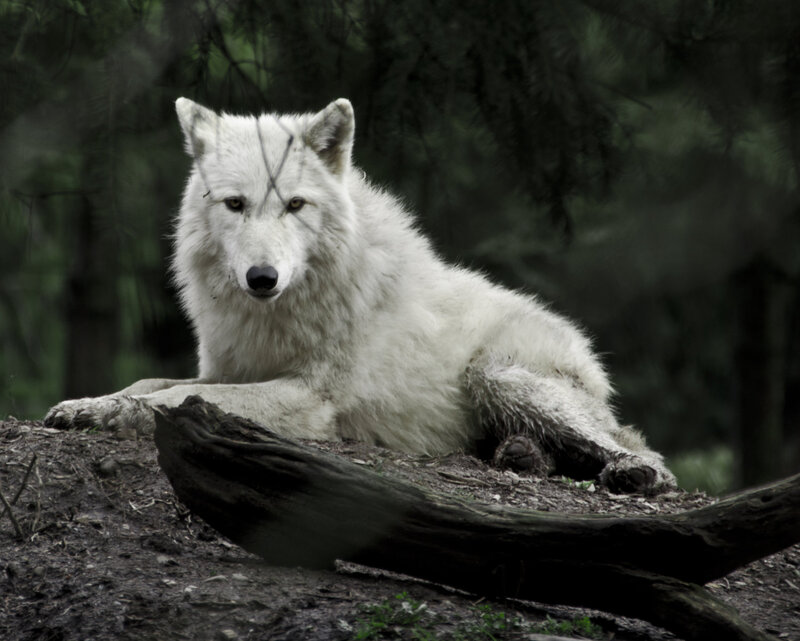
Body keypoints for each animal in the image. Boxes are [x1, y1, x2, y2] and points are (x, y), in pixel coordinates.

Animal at [46, 98, 676, 494]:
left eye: (295, 205)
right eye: (235, 204)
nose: (262, 278)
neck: (281, 315)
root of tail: (581, 343)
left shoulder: (309, 395)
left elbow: (172, 398)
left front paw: (104, 413)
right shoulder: (228, 369)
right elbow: (149, 384)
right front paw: (86, 404)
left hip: (496, 375)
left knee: (640, 448)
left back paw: (634, 475)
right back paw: (520, 456)